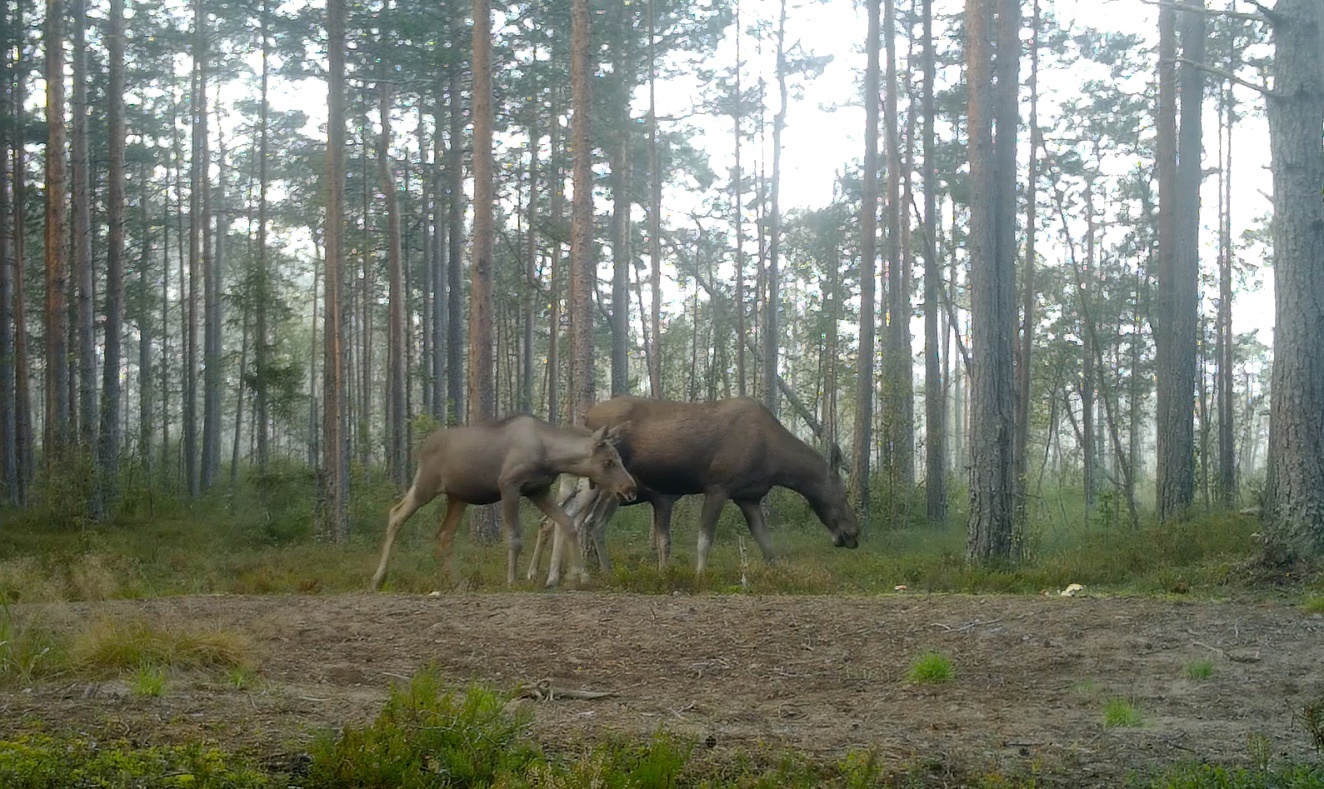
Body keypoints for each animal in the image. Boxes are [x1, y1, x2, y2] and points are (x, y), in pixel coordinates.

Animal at [370, 415, 638, 587]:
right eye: (608, 462)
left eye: (619, 458)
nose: (630, 488)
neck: (551, 457)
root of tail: (422, 448)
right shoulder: (509, 486)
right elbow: (514, 538)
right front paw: (512, 579)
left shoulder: (538, 490)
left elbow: (567, 523)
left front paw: (577, 576)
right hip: (425, 485)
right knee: (396, 514)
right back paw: (378, 578)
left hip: (457, 496)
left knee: (445, 534)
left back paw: (458, 582)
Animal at [529, 391, 857, 574]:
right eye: (843, 495)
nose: (853, 534)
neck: (777, 463)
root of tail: (585, 416)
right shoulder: (718, 487)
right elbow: (704, 541)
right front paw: (699, 576)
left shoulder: (749, 497)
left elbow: (766, 543)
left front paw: (778, 574)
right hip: (597, 482)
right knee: (570, 517)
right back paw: (556, 576)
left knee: (568, 518)